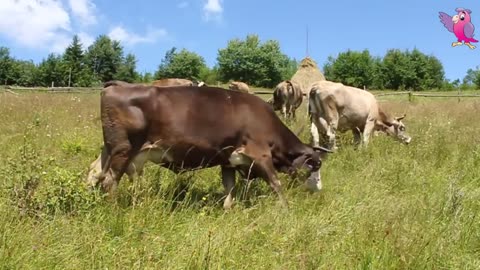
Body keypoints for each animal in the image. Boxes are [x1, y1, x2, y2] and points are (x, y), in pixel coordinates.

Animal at [88, 80, 332, 209]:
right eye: (315, 165)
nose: (319, 190)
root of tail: (118, 84)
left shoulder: (228, 161)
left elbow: (229, 188)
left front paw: (228, 210)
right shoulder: (260, 153)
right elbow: (276, 183)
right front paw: (286, 209)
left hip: (110, 149)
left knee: (94, 172)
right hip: (123, 149)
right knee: (109, 180)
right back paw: (113, 209)